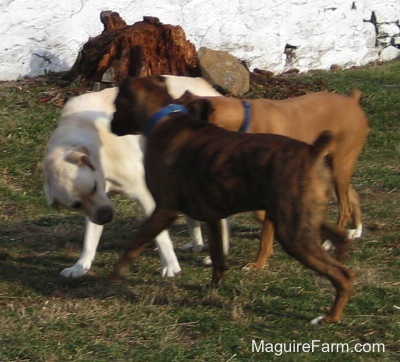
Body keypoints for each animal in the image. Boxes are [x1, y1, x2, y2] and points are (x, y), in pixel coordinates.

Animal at [46, 74, 225, 278]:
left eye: (93, 187)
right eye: (76, 205)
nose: (107, 217)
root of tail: (207, 86)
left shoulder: (143, 194)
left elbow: (160, 235)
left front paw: (170, 265)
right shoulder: (96, 207)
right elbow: (89, 240)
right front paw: (80, 266)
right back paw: (197, 244)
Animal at [177, 89, 370, 270]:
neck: (244, 121)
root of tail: (351, 100)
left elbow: (265, 233)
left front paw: (258, 264)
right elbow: (260, 215)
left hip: (340, 169)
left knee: (344, 208)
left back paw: (330, 243)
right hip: (331, 168)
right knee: (353, 196)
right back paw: (356, 231)